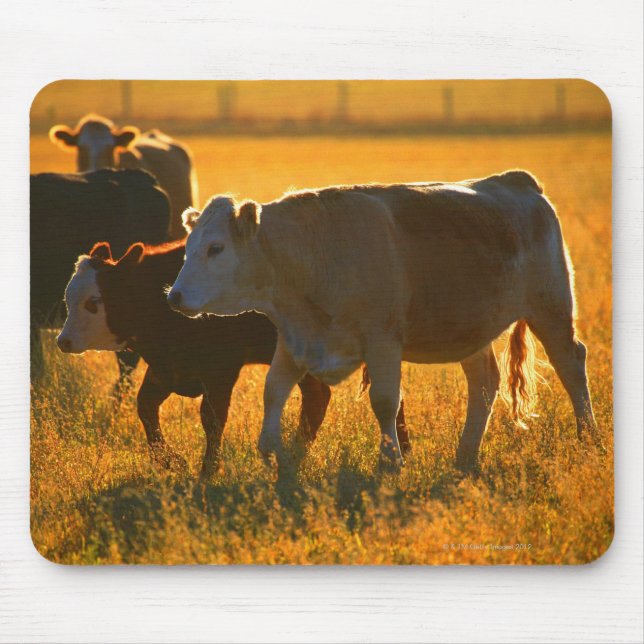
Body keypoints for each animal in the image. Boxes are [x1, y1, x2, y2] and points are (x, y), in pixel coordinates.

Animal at [56, 239, 410, 478]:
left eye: (93, 302)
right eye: (68, 298)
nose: (64, 341)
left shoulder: (220, 369)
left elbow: (212, 418)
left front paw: (208, 471)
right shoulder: (167, 368)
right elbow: (145, 407)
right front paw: (169, 460)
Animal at [167, 170, 597, 472]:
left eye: (216, 248)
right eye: (188, 248)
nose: (175, 296)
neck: (315, 251)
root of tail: (518, 182)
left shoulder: (382, 342)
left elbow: (386, 401)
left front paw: (390, 462)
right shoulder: (293, 340)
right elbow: (273, 391)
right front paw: (271, 450)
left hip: (551, 308)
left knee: (571, 364)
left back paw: (588, 436)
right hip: (473, 331)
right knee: (485, 383)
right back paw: (465, 456)